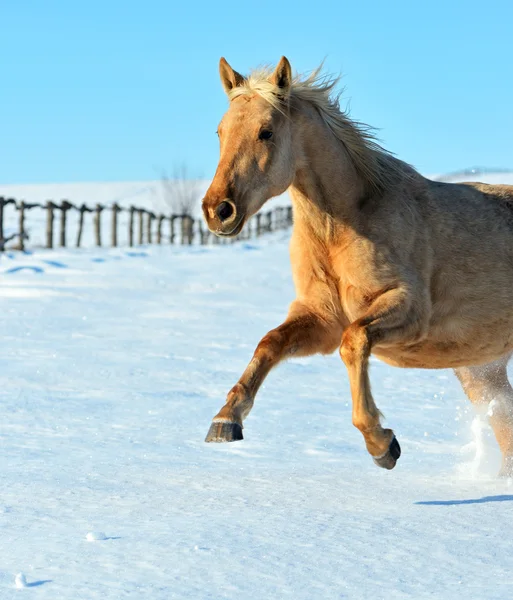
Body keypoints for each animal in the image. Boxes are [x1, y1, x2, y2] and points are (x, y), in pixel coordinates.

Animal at [200, 57, 512, 478]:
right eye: (220, 132)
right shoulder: (321, 319)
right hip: (483, 371)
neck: (347, 224)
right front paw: (225, 421)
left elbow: (355, 341)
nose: (218, 210)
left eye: (266, 132)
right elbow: (270, 343)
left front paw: (382, 444)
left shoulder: (408, 311)